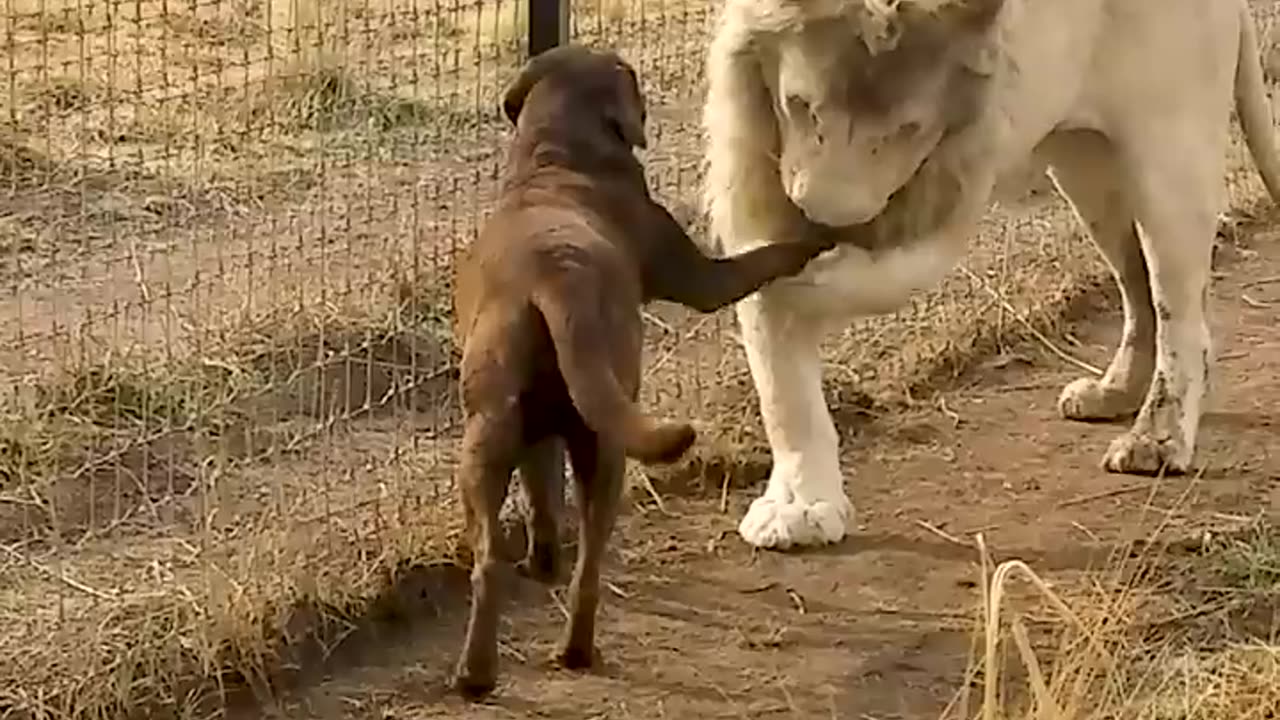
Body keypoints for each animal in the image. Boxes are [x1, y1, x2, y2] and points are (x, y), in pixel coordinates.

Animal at [450, 43, 839, 696]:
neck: (558, 156)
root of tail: (553, 279)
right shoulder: (703, 277)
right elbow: (762, 258)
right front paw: (815, 234)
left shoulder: (534, 439)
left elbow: (540, 496)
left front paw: (541, 559)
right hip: (605, 450)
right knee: (589, 567)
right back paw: (577, 652)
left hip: (488, 437)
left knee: (489, 562)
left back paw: (477, 672)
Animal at [706, 0, 1280, 545]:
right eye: (800, 105)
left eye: (909, 129)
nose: (825, 220)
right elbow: (782, 387)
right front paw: (798, 508)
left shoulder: (957, 179)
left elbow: (866, 280)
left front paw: (803, 280)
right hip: (1084, 165)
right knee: (1138, 289)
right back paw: (1114, 393)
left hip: (1168, 156)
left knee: (1180, 315)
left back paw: (1157, 439)